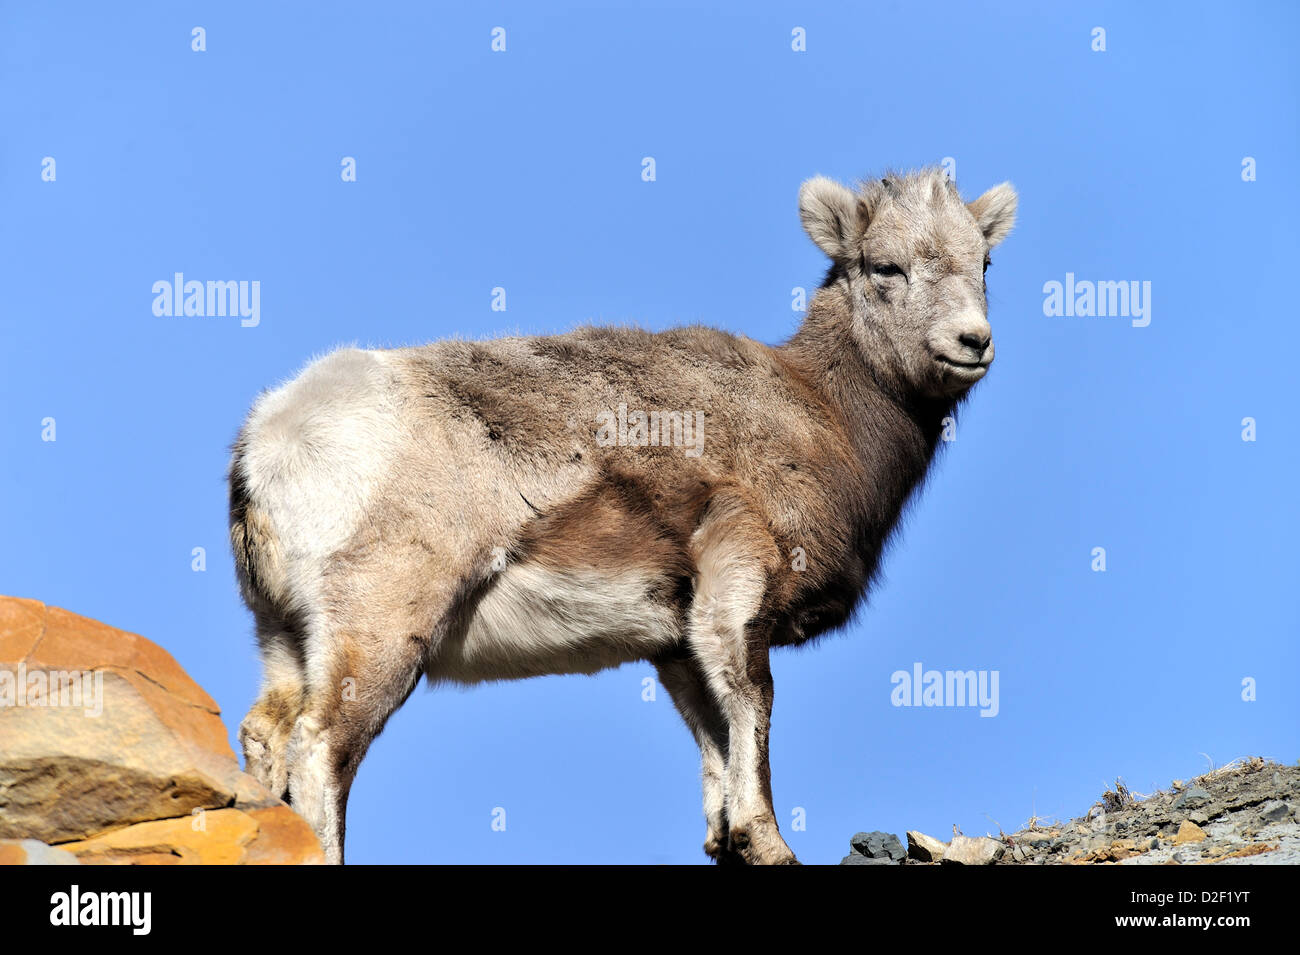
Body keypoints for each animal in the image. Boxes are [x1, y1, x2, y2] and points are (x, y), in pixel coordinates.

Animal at [229, 167, 1017, 864]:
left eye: (983, 262)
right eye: (885, 266)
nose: (973, 343)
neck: (822, 416)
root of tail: (271, 439)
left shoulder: (676, 647)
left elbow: (714, 746)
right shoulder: (737, 591)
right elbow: (752, 707)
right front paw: (770, 843)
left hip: (285, 637)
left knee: (269, 737)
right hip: (380, 632)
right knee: (323, 750)